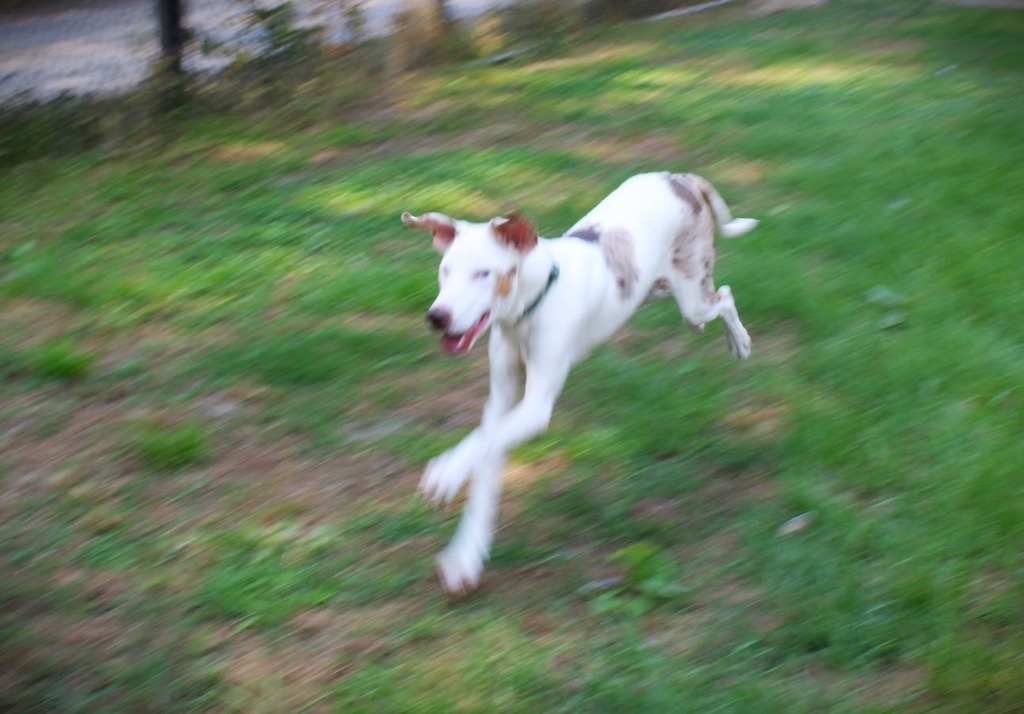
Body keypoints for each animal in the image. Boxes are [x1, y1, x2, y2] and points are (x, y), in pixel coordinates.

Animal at [403, 171, 757, 590]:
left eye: (483, 273)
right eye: (445, 271)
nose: (436, 317)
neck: (528, 309)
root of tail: (678, 177)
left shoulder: (535, 407)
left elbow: (481, 443)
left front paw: (445, 473)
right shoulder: (502, 402)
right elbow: (485, 454)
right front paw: (465, 556)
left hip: (691, 295)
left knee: (724, 297)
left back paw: (739, 340)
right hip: (654, 288)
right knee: (702, 303)